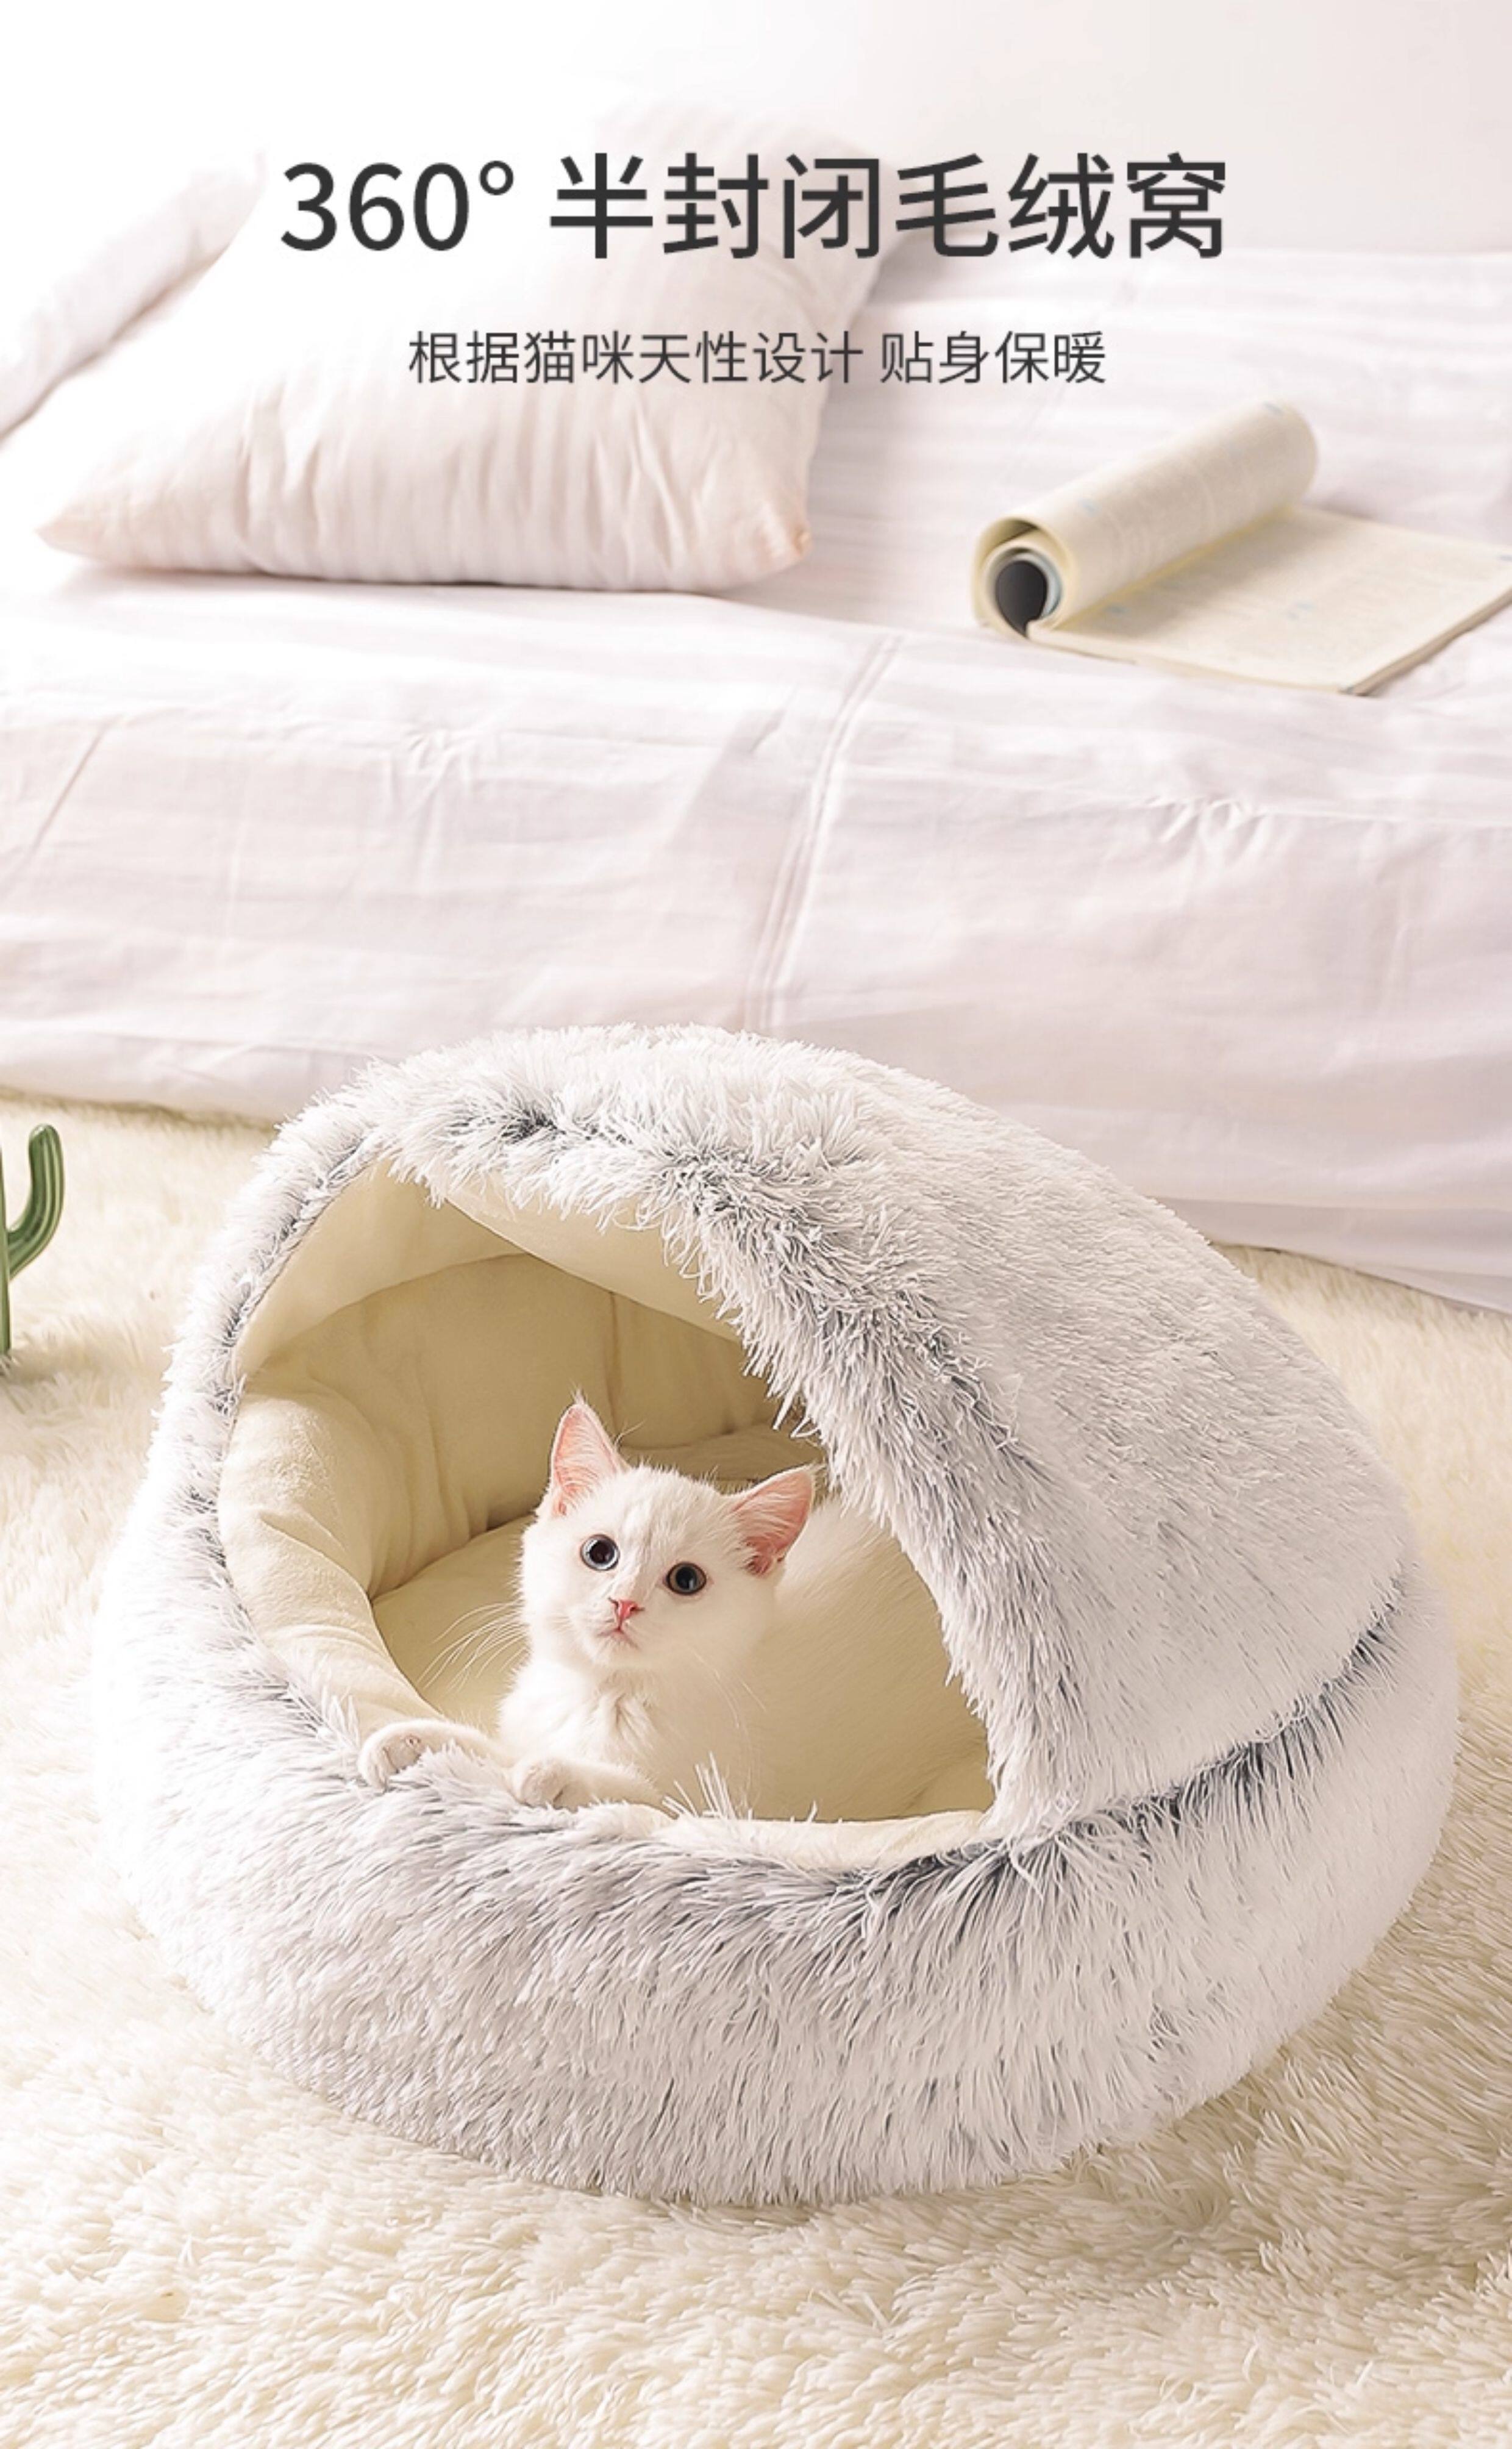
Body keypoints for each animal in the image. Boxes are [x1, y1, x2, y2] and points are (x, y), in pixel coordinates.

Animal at [359, 1400, 814, 1810]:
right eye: (600, 1552)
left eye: (687, 1580)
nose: (625, 1602)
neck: (604, 1694)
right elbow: (495, 1750)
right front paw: (415, 1740)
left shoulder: (720, 1798)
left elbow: (648, 1799)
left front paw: (558, 1773)